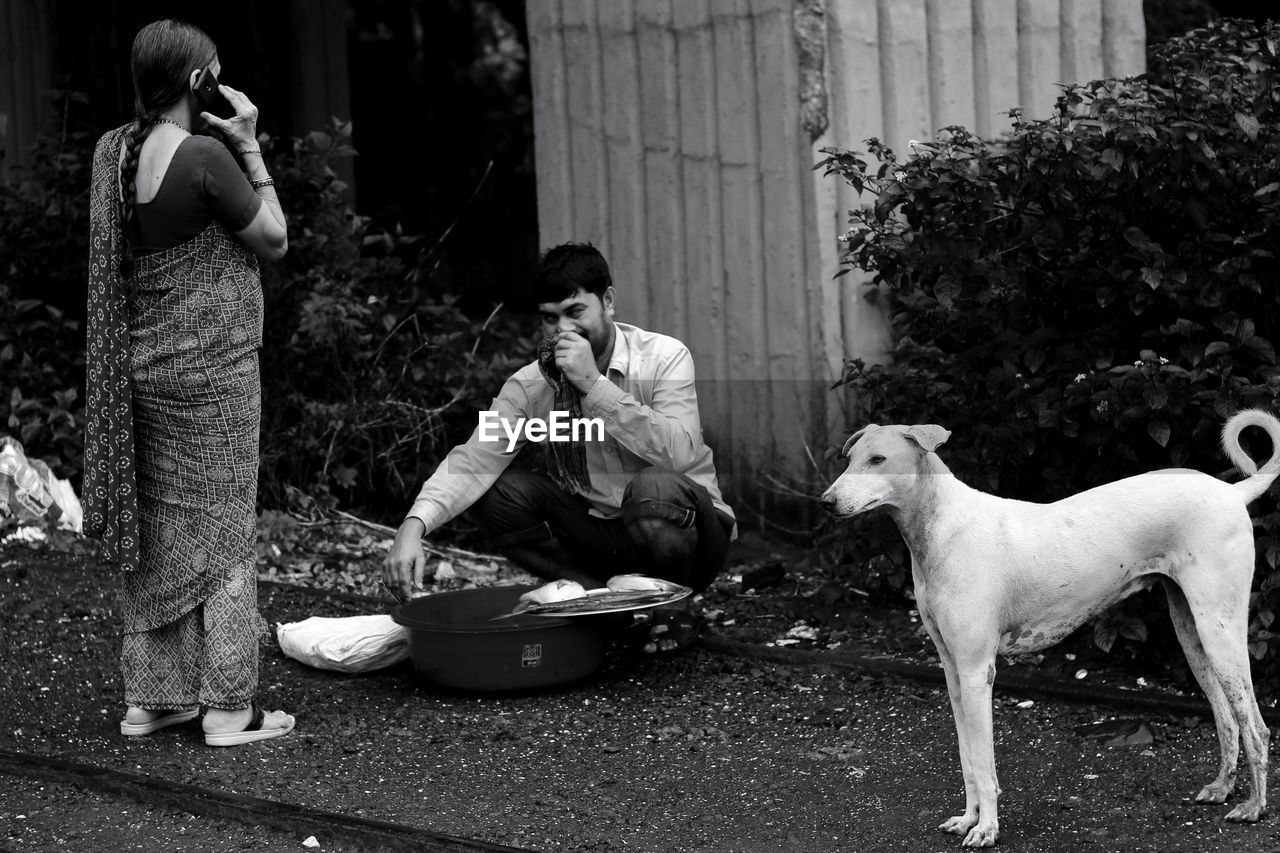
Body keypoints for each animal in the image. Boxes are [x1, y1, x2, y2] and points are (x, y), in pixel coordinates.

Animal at [824, 409, 1274, 845]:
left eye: (878, 459)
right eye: (850, 459)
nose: (826, 502)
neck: (945, 531)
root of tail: (1233, 492)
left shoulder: (977, 674)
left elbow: (984, 765)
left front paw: (986, 830)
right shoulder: (953, 672)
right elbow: (968, 759)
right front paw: (968, 820)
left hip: (1221, 632)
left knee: (1256, 727)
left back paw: (1254, 808)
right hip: (1192, 635)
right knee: (1227, 718)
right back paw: (1221, 788)